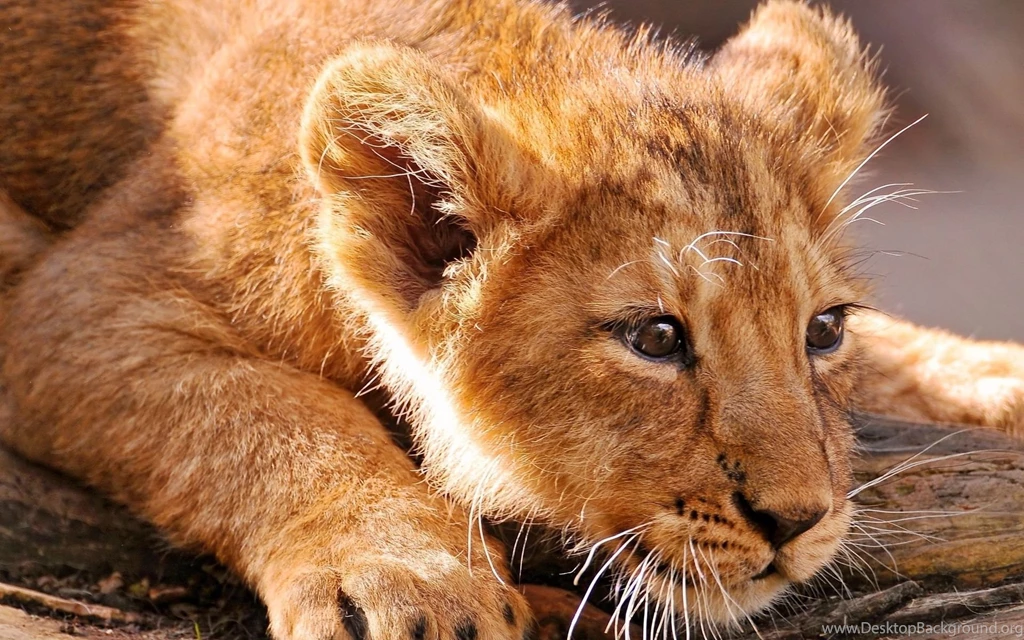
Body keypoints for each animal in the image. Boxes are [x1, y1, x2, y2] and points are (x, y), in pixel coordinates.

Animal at [1, 0, 1022, 637]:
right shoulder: (77, 298)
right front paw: (409, 576)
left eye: (824, 331)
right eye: (656, 338)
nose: (799, 521)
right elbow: (262, 410)